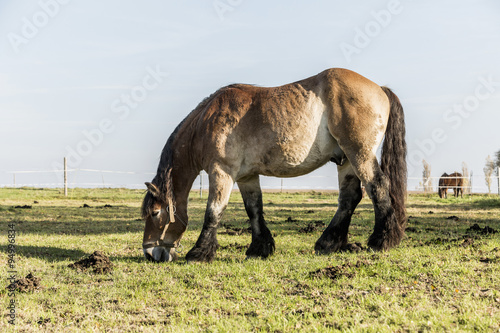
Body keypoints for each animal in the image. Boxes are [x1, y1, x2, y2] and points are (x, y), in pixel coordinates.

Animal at [141, 68, 406, 262]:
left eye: (155, 213)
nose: (150, 253)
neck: (207, 122)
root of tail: (380, 89)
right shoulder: (245, 177)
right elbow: (253, 209)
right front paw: (260, 248)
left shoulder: (221, 172)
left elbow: (214, 211)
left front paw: (199, 253)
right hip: (347, 160)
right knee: (349, 198)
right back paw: (328, 243)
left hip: (359, 154)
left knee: (378, 188)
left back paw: (381, 241)